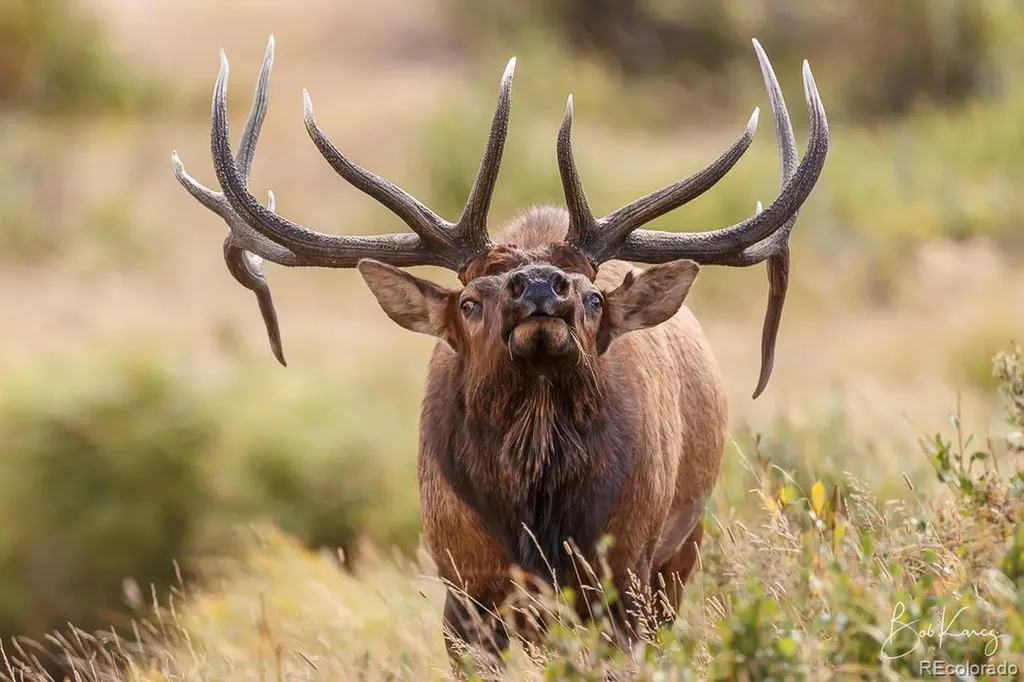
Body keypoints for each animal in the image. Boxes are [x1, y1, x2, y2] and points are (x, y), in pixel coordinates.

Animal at [172, 35, 828, 668]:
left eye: (594, 297)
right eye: (469, 301)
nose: (540, 286)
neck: (536, 521)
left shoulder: (625, 576)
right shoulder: (463, 588)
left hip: (680, 553)